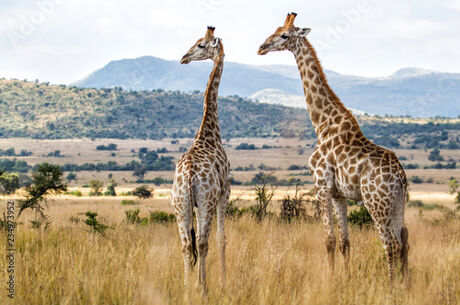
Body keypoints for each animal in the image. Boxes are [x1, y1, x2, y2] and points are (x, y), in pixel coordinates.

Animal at [256, 14, 408, 280]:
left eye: (284, 35)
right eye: (275, 29)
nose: (261, 47)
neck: (323, 123)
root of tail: (400, 176)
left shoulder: (322, 185)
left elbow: (328, 240)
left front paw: (330, 280)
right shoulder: (339, 195)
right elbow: (345, 242)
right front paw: (345, 279)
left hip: (376, 202)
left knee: (389, 244)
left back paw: (391, 285)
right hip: (398, 203)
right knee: (402, 244)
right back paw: (403, 284)